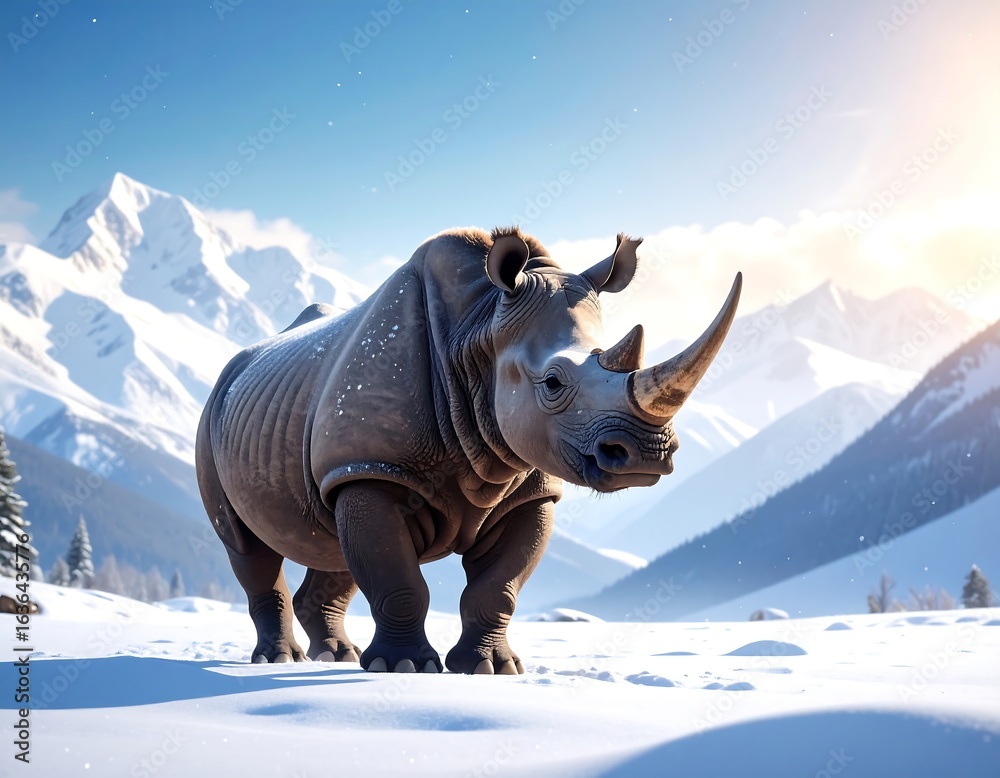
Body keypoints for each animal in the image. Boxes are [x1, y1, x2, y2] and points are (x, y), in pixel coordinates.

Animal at [196, 226, 741, 674]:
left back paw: (336, 657)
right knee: (247, 545)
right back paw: (279, 660)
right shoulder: (374, 469)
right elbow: (398, 581)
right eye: (552, 383)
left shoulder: (529, 487)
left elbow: (498, 587)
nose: (648, 453)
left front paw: (490, 669)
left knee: (331, 542)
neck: (478, 333)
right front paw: (403, 668)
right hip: (217, 418)